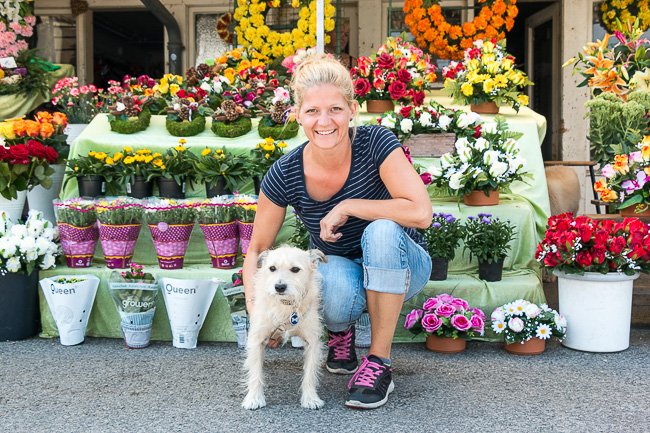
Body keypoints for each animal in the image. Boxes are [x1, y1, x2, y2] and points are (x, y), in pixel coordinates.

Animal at [242, 245, 326, 410]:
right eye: (272, 268)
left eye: (295, 269)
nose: (279, 287)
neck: (286, 305)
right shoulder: (256, 340)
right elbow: (255, 373)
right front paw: (254, 398)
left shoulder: (312, 341)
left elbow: (310, 373)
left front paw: (310, 398)